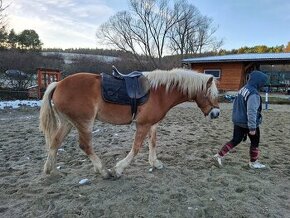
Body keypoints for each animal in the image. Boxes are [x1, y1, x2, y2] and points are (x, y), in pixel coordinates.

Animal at [39, 67, 220, 179]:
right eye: (211, 94)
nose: (216, 113)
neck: (160, 92)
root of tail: (58, 84)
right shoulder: (143, 125)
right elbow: (136, 147)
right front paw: (119, 169)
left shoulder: (152, 124)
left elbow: (153, 143)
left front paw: (155, 163)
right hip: (84, 123)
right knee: (85, 146)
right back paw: (104, 172)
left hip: (67, 123)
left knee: (55, 142)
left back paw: (50, 170)